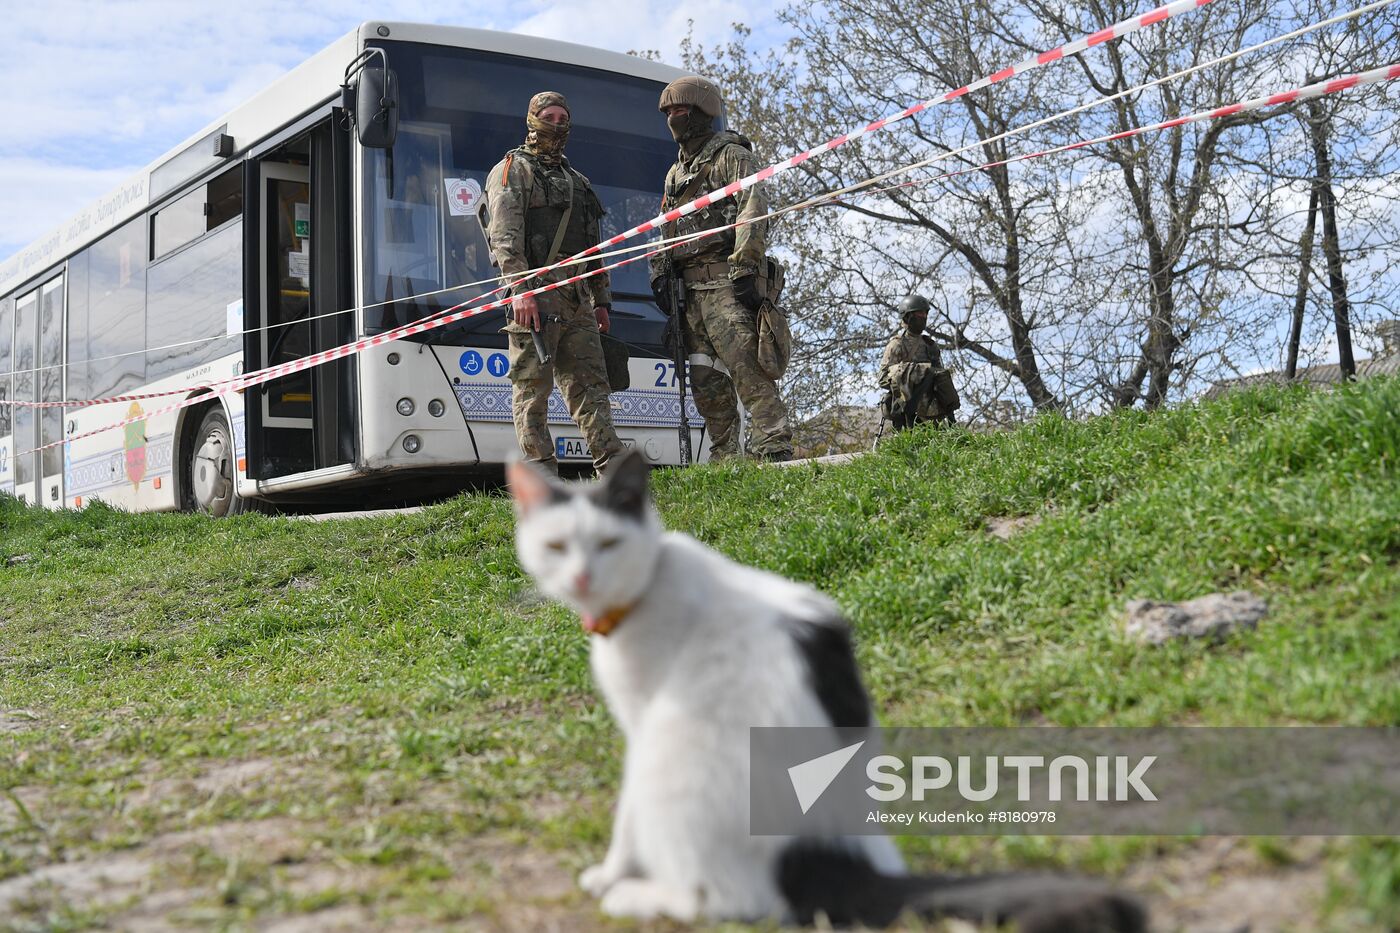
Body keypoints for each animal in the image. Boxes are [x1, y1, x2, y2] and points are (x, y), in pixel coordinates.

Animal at [509, 448, 1142, 924]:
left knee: (730, 901)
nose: (583, 577)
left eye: (609, 544)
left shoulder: (639, 725)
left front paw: (609, 873)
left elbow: (625, 820)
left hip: (671, 759)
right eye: (556, 546)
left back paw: (634, 897)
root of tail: (837, 851)